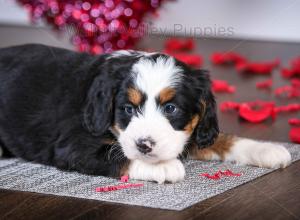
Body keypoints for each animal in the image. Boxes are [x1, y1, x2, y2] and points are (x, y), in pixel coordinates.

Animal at [0, 43, 290, 183]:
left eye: (171, 108)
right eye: (128, 109)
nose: (145, 145)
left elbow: (221, 138)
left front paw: (267, 149)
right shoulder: (72, 144)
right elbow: (116, 155)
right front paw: (162, 166)